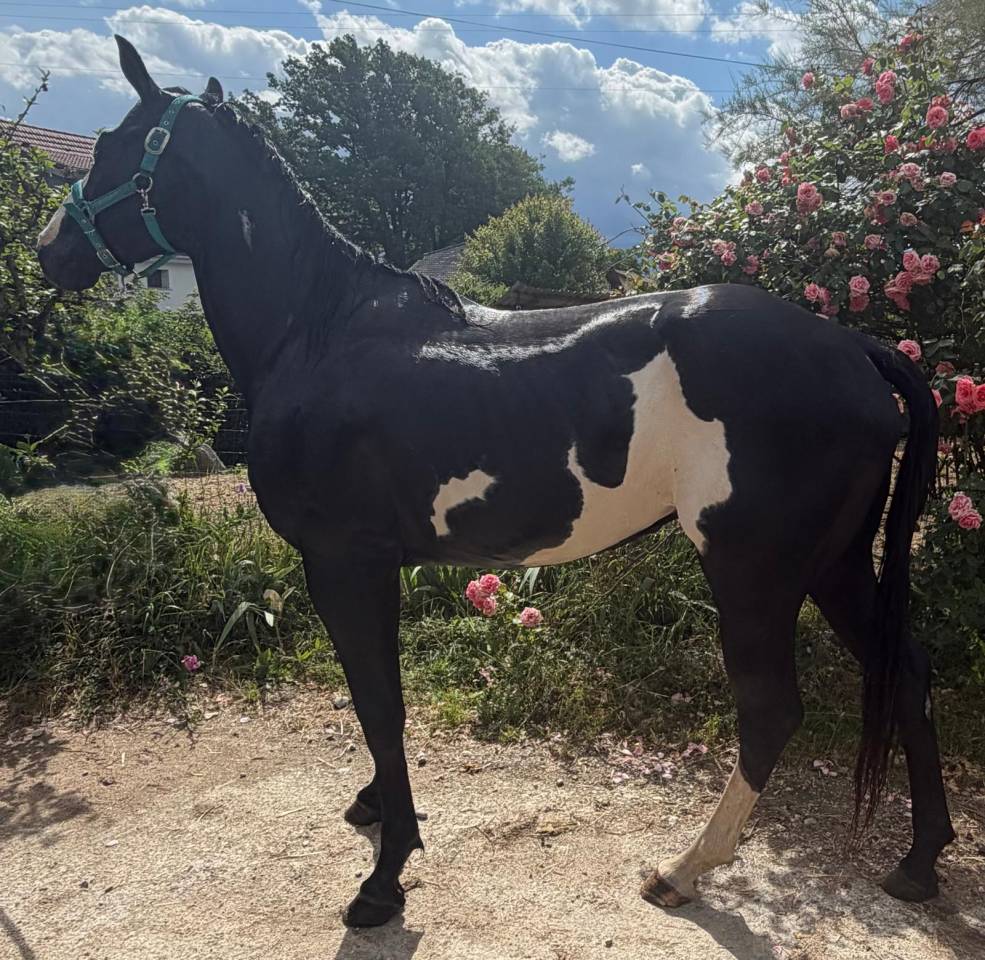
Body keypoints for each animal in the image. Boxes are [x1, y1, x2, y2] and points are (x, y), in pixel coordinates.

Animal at [37, 36, 955, 928]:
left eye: (113, 143)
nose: (51, 249)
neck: (322, 332)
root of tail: (853, 349)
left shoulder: (342, 563)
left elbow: (378, 704)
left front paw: (384, 879)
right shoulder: (374, 567)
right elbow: (379, 699)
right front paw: (377, 808)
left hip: (754, 571)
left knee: (769, 711)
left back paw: (682, 871)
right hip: (834, 563)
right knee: (907, 671)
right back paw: (917, 863)